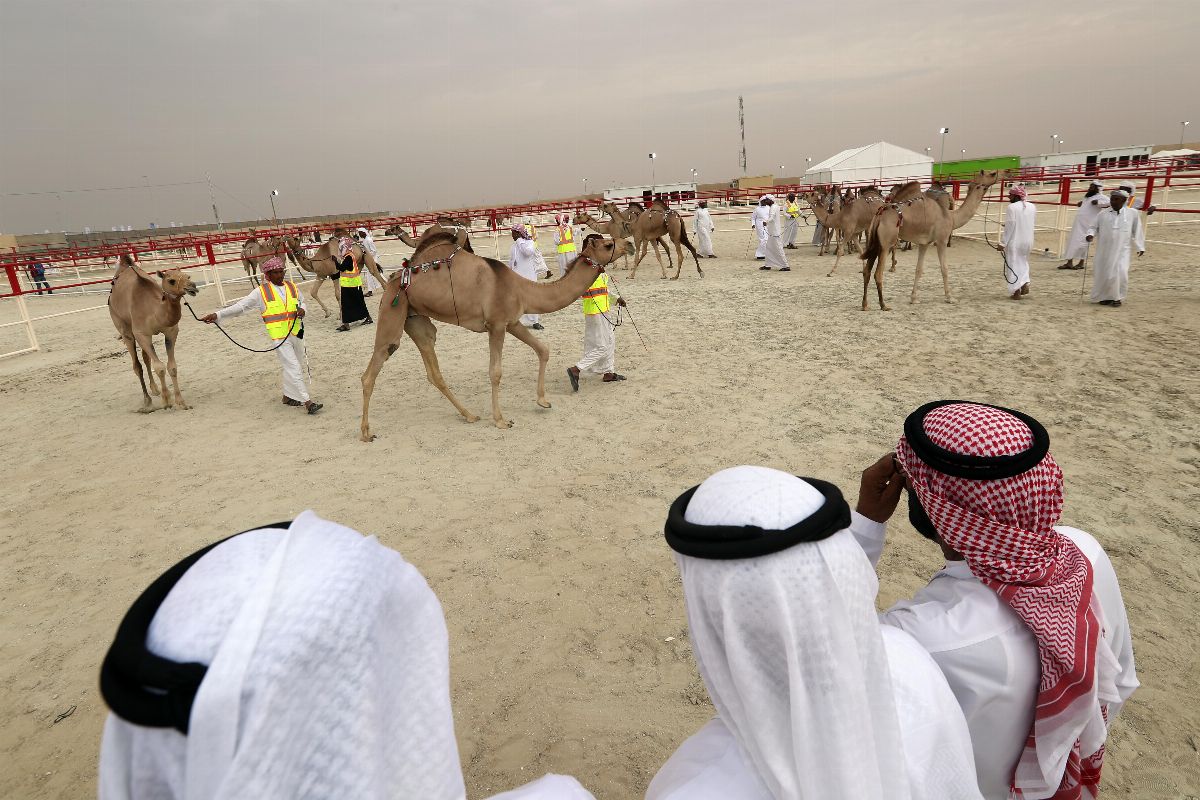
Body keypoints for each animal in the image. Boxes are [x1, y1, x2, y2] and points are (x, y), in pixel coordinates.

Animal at [106, 255, 198, 412]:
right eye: (171, 280)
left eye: (188, 276)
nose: (193, 286)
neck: (154, 311)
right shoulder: (141, 334)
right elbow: (159, 367)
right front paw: (166, 401)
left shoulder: (171, 331)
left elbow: (172, 367)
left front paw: (181, 402)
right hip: (123, 328)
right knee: (137, 365)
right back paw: (147, 401)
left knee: (145, 358)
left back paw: (155, 389)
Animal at [357, 231, 633, 441]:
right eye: (608, 244)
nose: (628, 244)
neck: (521, 288)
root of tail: (394, 280)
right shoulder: (497, 325)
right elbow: (495, 372)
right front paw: (501, 420)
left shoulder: (512, 322)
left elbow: (542, 349)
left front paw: (543, 401)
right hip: (393, 310)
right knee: (372, 369)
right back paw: (366, 433)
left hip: (415, 319)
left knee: (433, 370)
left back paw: (469, 415)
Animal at [864, 170, 1003, 311]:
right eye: (992, 173)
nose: (1002, 173)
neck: (951, 217)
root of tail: (879, 216)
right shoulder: (941, 240)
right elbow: (944, 269)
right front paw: (950, 297)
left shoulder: (924, 243)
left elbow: (918, 270)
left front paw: (914, 299)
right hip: (886, 243)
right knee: (878, 273)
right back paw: (883, 305)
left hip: (876, 242)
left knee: (867, 271)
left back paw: (865, 305)